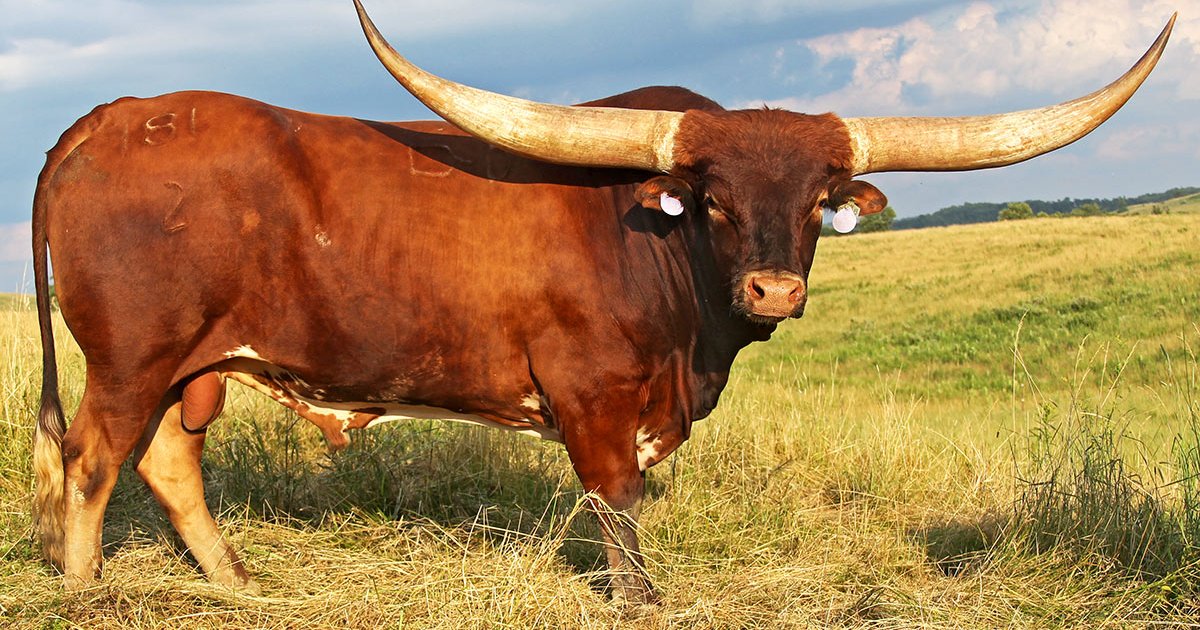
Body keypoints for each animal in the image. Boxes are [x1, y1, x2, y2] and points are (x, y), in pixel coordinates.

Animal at [30, 0, 1174, 604]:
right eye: (712, 199)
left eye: (817, 201)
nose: (773, 286)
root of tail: (107, 115)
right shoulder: (593, 397)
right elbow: (617, 512)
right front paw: (646, 603)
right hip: (132, 355)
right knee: (90, 459)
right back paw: (86, 593)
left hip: (201, 365)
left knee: (167, 460)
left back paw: (234, 580)